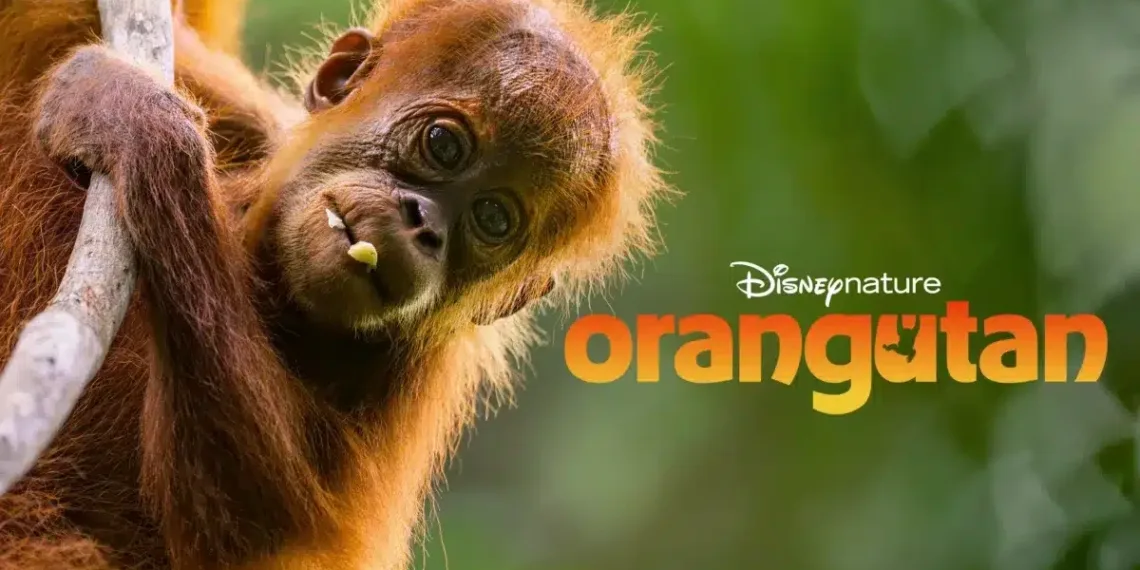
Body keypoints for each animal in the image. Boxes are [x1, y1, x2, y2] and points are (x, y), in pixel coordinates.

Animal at [0, 0, 666, 568]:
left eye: (493, 218)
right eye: (444, 144)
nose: (424, 225)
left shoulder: (408, 386)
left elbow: (249, 527)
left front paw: (136, 125)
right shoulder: (244, 119)